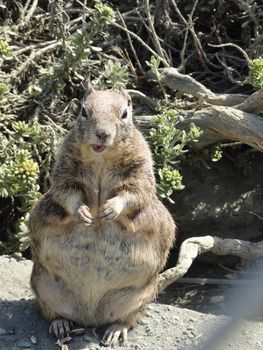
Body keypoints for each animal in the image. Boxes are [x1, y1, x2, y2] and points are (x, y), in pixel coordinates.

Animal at [29, 84, 176, 348]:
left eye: (125, 114)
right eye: (84, 111)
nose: (102, 134)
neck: (101, 158)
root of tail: (90, 316)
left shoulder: (140, 170)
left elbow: (135, 193)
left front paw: (110, 209)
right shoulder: (64, 170)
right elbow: (65, 192)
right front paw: (83, 213)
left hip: (141, 298)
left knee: (129, 318)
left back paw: (115, 331)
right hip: (42, 287)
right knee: (51, 312)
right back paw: (60, 325)